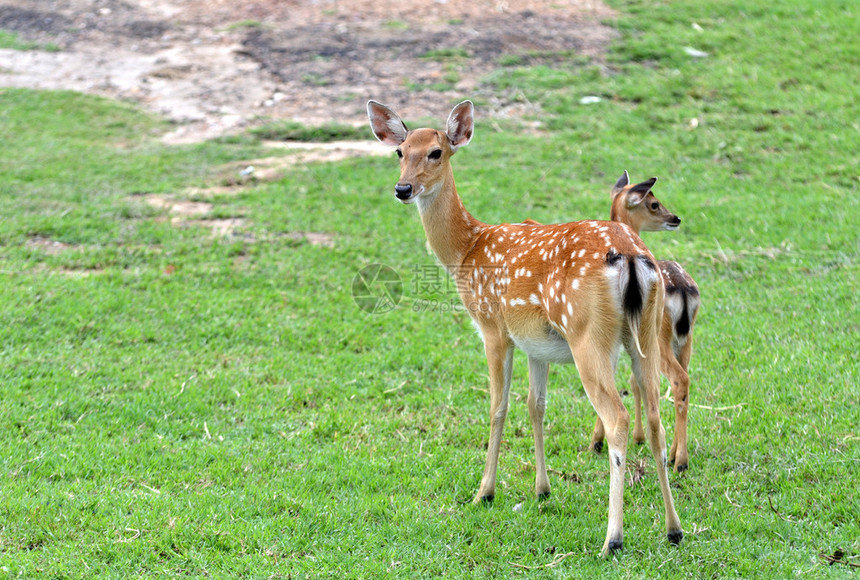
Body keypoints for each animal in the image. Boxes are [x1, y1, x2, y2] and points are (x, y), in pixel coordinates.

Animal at [366, 101, 680, 556]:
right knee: (655, 414)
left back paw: (612, 539)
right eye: (400, 151)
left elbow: (497, 407)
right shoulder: (537, 344)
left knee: (618, 417)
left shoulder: (493, 328)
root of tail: (632, 256)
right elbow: (536, 405)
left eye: (436, 153)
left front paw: (484, 492)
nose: (403, 188)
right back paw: (674, 529)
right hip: (645, 334)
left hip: (588, 334)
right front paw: (542, 489)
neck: (467, 250)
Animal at [592, 171, 700, 472]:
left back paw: (680, 461)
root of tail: (684, 293)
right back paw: (674, 454)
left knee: (678, 380)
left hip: (657, 338)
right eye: (654, 203)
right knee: (683, 382)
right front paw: (638, 437)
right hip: (685, 341)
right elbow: (634, 381)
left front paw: (598, 440)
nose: (676, 218)